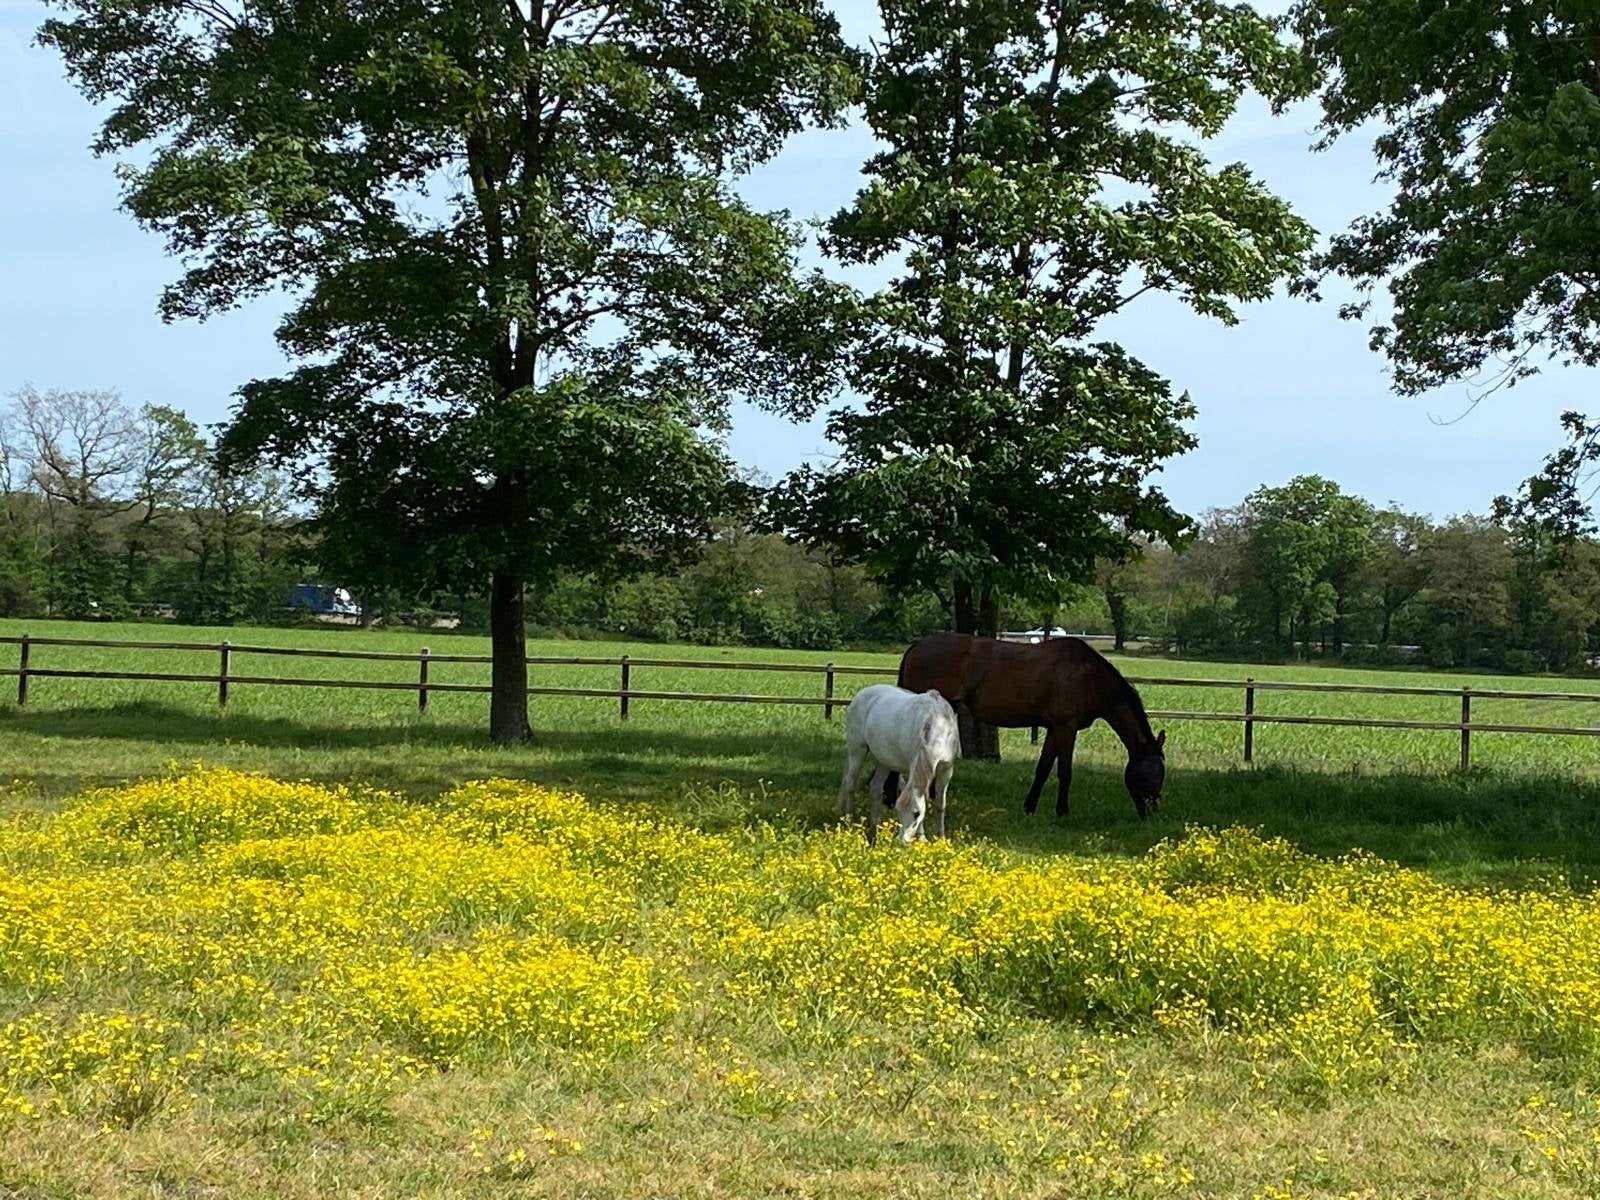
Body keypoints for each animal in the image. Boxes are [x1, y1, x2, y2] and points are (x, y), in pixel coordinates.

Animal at [836, 684, 960, 845]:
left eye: (916, 813)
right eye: (898, 810)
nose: (902, 841)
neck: (938, 724)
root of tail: (861, 694)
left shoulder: (946, 769)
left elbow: (940, 804)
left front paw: (941, 838)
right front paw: (922, 838)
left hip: (883, 760)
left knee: (875, 787)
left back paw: (875, 824)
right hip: (857, 749)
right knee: (850, 784)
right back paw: (849, 821)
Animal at [888, 633, 1165, 821]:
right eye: (1149, 773)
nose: (1152, 813)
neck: (1088, 677)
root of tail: (916, 646)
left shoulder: (1054, 729)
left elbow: (1043, 768)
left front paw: (1029, 807)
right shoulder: (1067, 727)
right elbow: (1065, 771)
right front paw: (1062, 812)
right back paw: (891, 798)